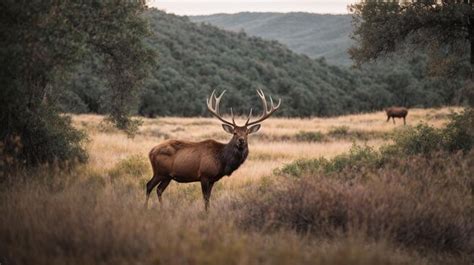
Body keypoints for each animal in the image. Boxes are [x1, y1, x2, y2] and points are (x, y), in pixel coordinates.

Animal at [144, 89, 282, 209]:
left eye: (247, 132)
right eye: (235, 133)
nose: (241, 140)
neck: (222, 161)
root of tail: (151, 151)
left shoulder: (213, 179)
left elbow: (209, 198)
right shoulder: (204, 175)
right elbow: (205, 198)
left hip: (168, 176)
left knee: (159, 189)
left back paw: (161, 208)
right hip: (160, 171)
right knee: (149, 185)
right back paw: (145, 208)